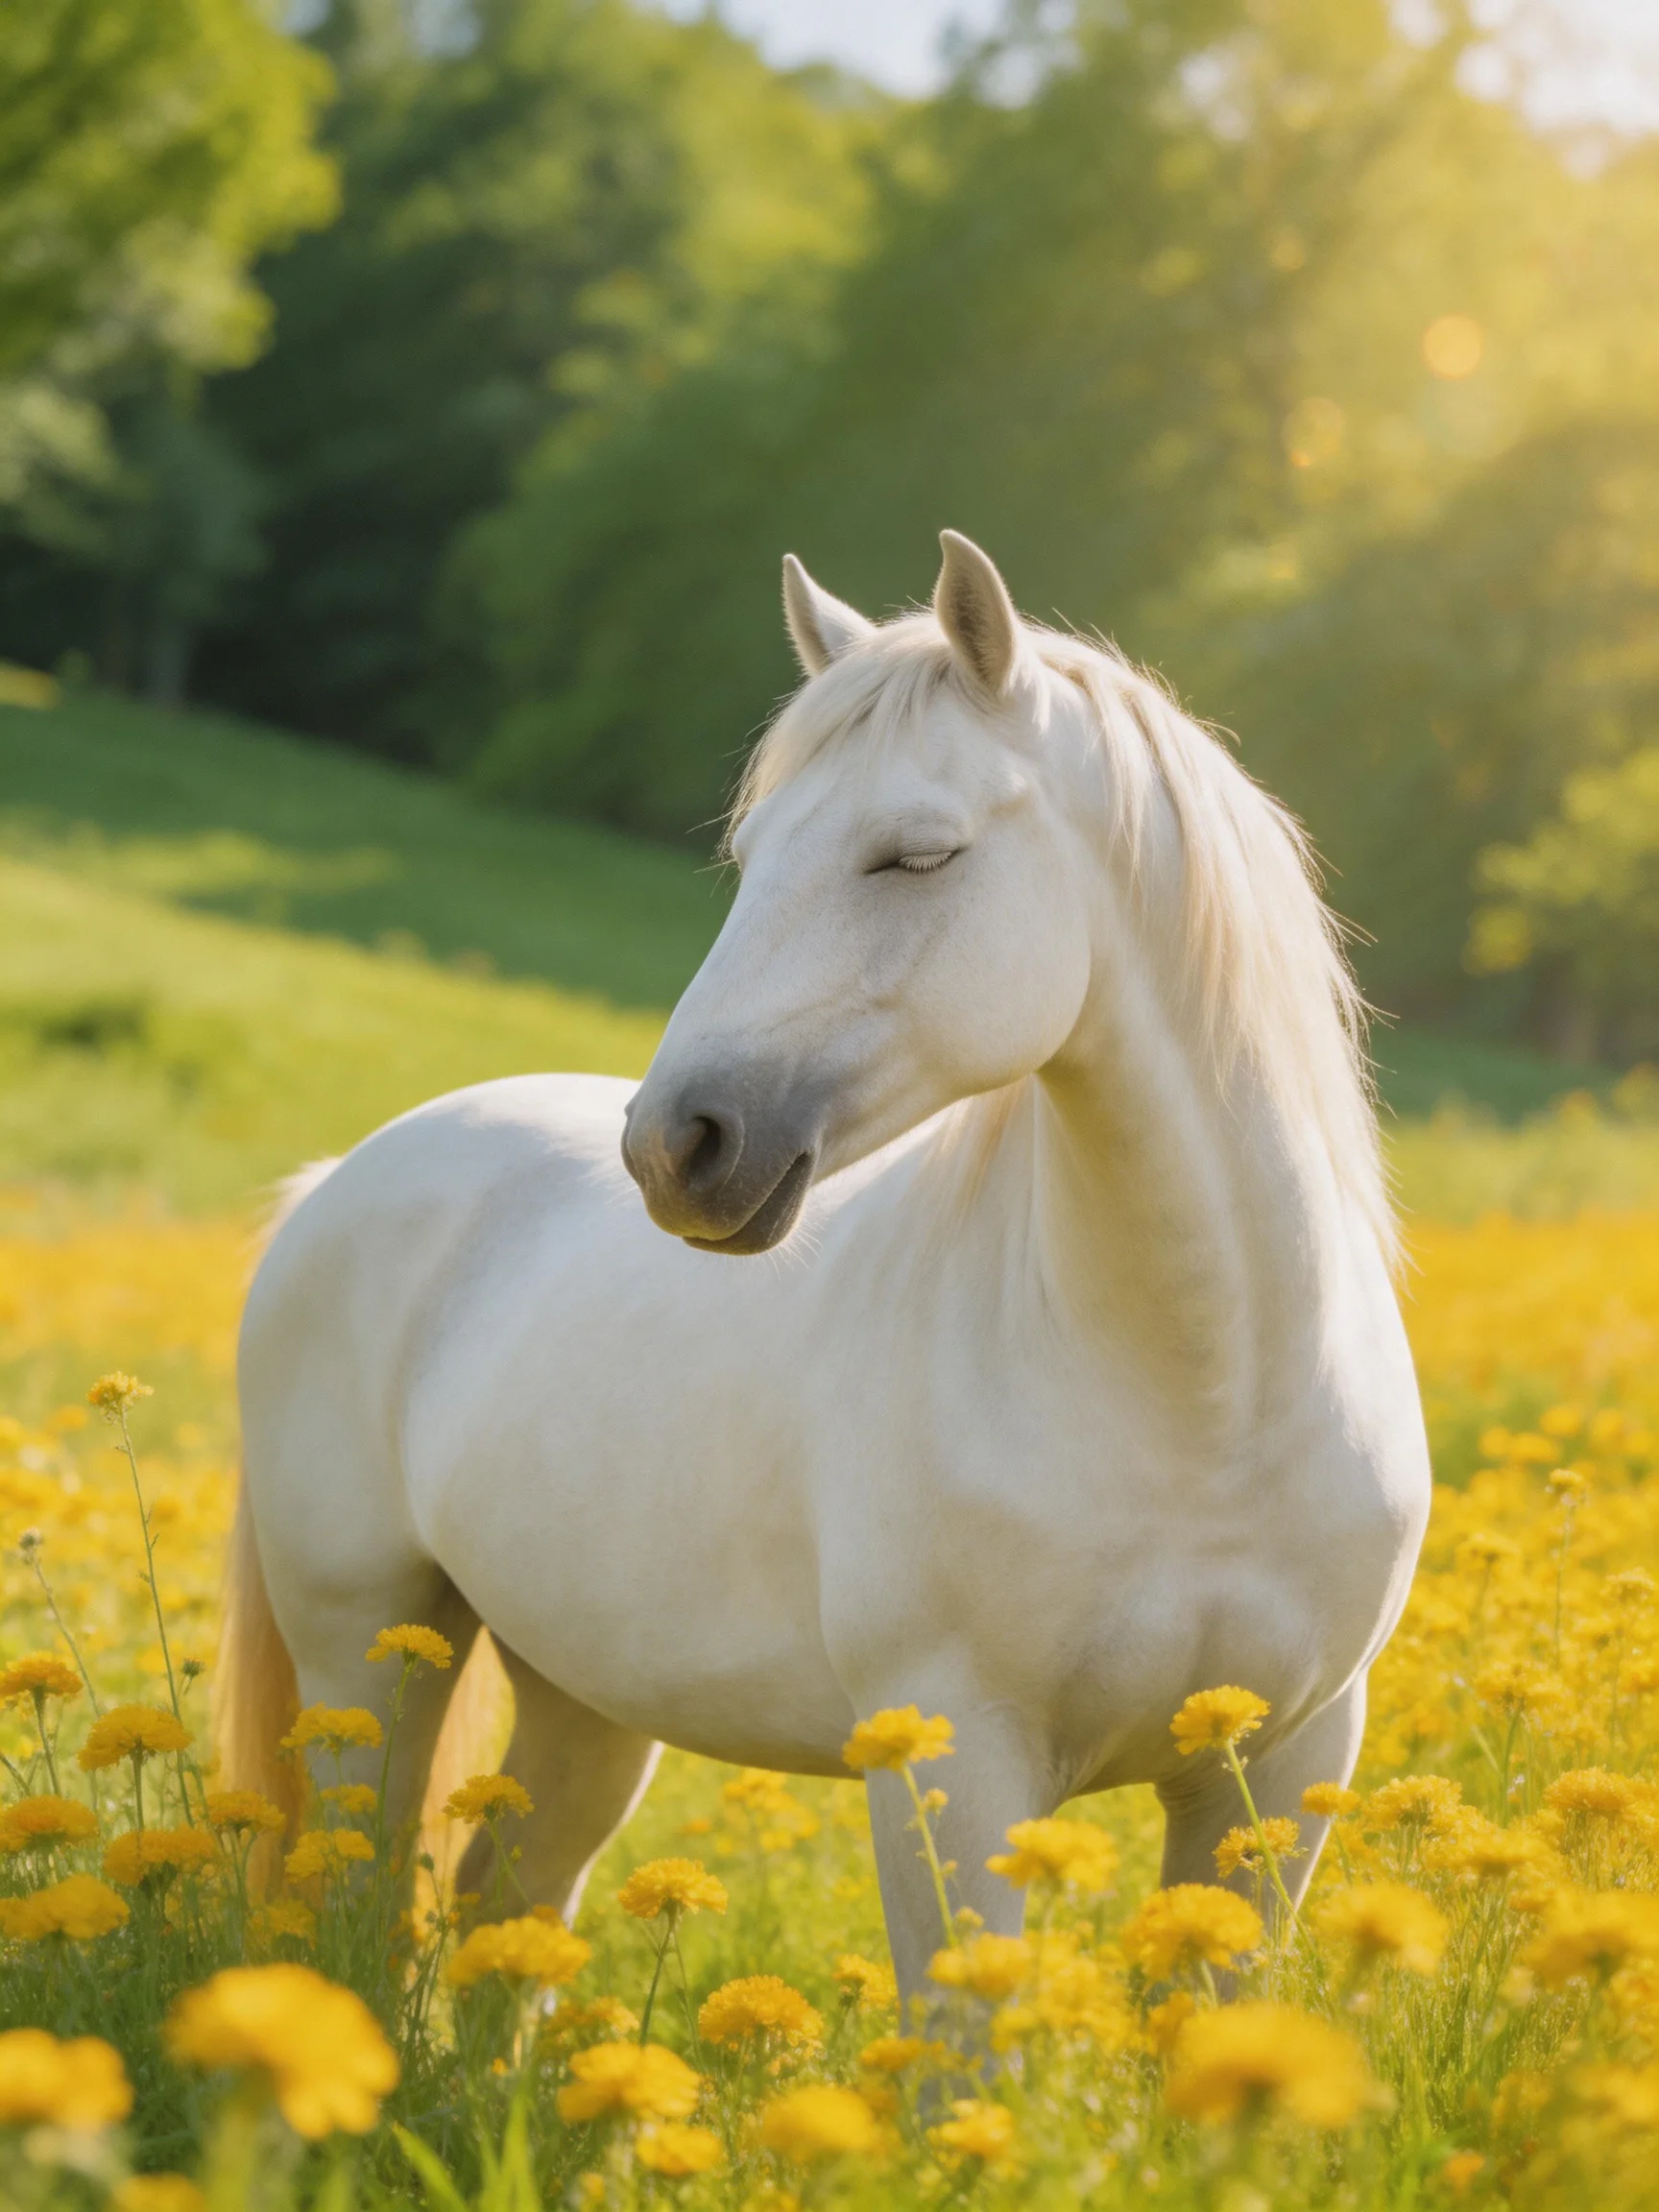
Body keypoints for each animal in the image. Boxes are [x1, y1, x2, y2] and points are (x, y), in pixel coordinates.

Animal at [220, 530, 1430, 2000]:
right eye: (751, 856)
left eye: (914, 856)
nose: (674, 1148)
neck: (1209, 1399)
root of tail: (335, 1183)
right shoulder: (958, 1767)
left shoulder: (1279, 1773)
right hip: (368, 1652)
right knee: (364, 1886)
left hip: (582, 1688)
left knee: (510, 1890)